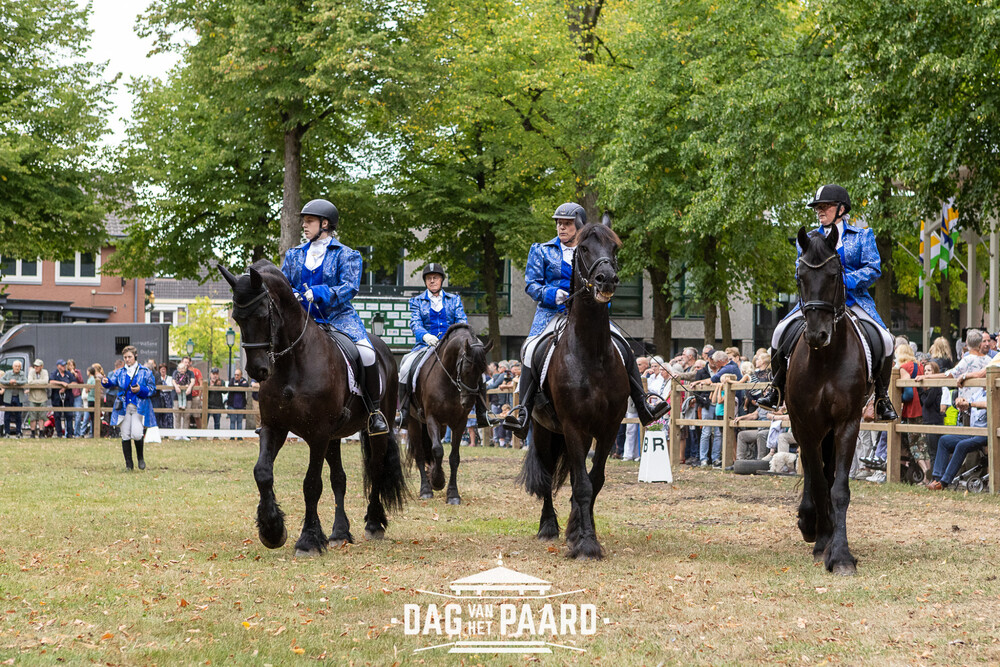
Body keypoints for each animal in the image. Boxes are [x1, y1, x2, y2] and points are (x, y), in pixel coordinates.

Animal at [218, 260, 407, 557]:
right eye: (237, 318)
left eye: (262, 314)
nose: (257, 370)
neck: (293, 362)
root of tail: (384, 349)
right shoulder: (275, 427)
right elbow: (262, 473)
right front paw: (272, 529)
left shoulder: (317, 434)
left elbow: (311, 484)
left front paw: (308, 540)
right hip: (334, 436)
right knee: (339, 478)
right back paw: (339, 533)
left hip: (375, 429)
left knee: (376, 468)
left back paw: (374, 523)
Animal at [405, 323, 493, 504]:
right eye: (466, 368)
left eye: (483, 370)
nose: (468, 402)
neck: (448, 381)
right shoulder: (432, 419)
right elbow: (438, 450)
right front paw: (438, 481)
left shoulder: (460, 422)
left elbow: (454, 457)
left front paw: (452, 494)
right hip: (414, 422)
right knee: (420, 454)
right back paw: (426, 489)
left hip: (442, 427)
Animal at [517, 217, 629, 560]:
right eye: (584, 248)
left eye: (614, 247)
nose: (606, 279)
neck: (591, 353)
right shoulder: (572, 427)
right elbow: (581, 485)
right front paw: (587, 544)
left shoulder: (608, 429)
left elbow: (595, 481)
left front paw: (580, 532)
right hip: (544, 432)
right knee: (545, 477)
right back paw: (548, 527)